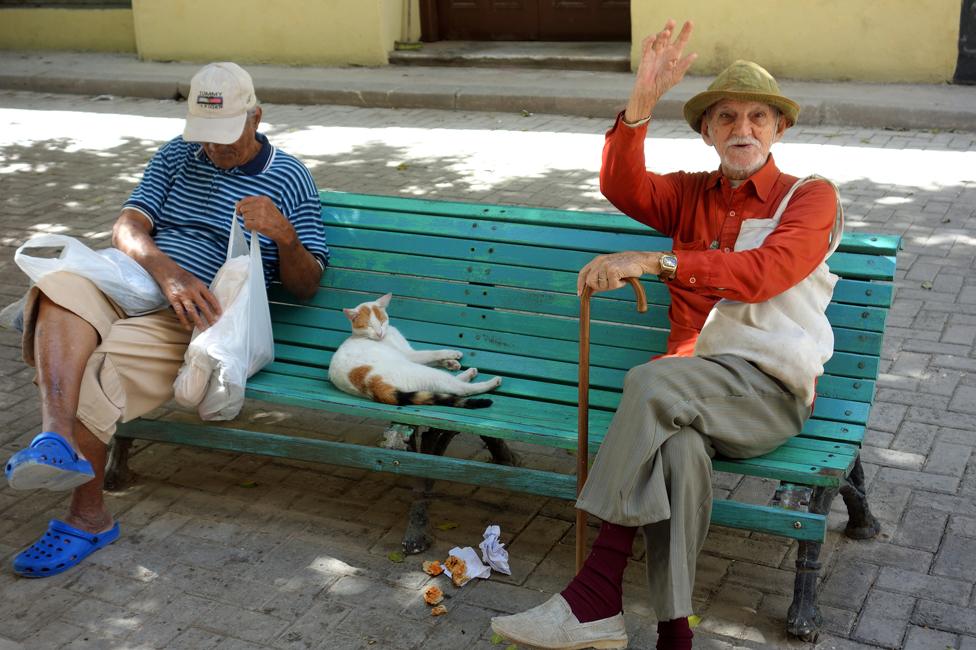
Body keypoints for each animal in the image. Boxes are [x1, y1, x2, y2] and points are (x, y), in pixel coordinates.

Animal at [332, 292, 508, 408]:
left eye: (382, 321)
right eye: (369, 326)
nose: (379, 333)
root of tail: (371, 384)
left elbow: (433, 360)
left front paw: (450, 363)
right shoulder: (410, 355)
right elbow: (431, 353)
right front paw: (451, 354)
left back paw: (466, 373)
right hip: (420, 372)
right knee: (458, 389)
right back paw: (491, 382)